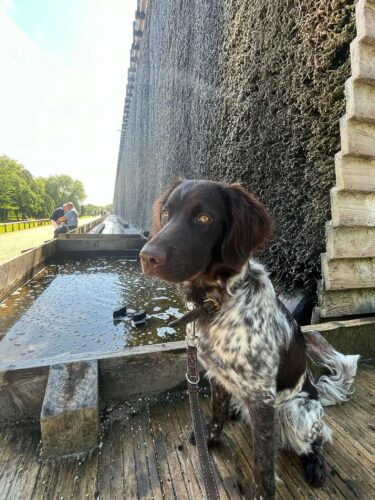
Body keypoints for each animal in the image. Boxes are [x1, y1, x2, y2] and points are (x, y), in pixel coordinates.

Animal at [140, 178, 358, 498]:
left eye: (204, 218)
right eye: (166, 213)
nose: (147, 256)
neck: (218, 301)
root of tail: (316, 390)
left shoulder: (262, 399)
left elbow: (263, 468)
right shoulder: (217, 375)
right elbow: (216, 414)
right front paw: (209, 440)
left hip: (298, 411)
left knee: (318, 439)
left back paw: (315, 465)